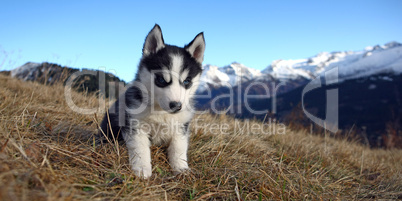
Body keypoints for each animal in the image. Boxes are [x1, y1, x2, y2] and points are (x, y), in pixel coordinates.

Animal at [100, 24, 206, 178]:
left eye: (187, 81)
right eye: (161, 79)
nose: (176, 106)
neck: (160, 112)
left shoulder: (181, 127)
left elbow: (179, 148)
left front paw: (181, 168)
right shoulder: (135, 125)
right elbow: (140, 149)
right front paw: (142, 169)